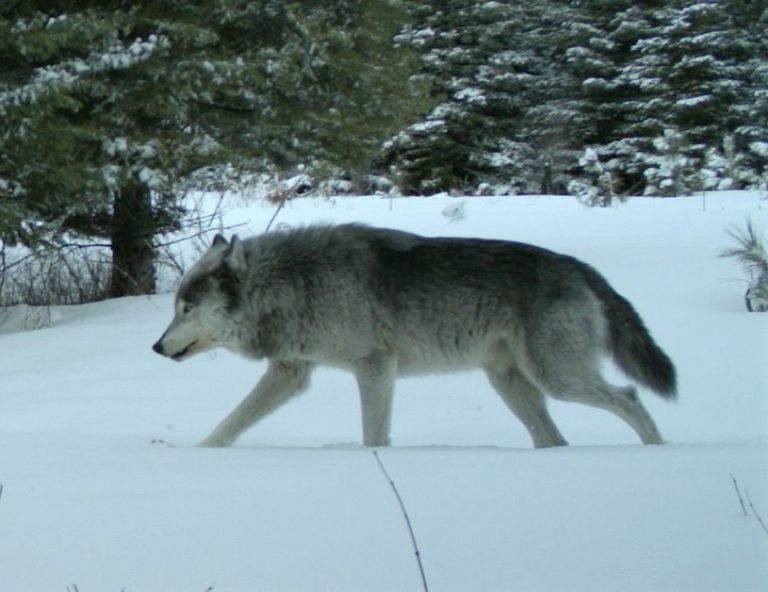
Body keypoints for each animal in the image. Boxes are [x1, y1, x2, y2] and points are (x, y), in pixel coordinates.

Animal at [152, 224, 676, 448]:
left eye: (186, 308)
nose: (156, 346)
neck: (295, 284)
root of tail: (579, 267)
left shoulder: (375, 366)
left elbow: (374, 435)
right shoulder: (290, 371)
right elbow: (230, 423)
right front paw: (199, 456)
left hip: (557, 379)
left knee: (630, 397)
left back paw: (659, 453)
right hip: (512, 384)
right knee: (553, 439)